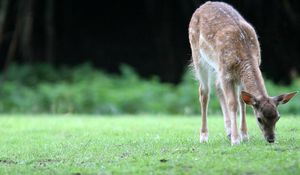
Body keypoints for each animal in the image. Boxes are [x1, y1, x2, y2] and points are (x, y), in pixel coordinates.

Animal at [189, 1, 296, 145]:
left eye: (278, 117)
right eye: (259, 118)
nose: (271, 139)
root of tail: (204, 5)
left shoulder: (236, 76)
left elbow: (242, 101)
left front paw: (244, 136)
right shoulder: (226, 73)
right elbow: (233, 103)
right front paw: (236, 140)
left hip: (216, 66)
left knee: (217, 87)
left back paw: (228, 132)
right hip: (198, 56)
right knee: (204, 92)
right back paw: (204, 136)